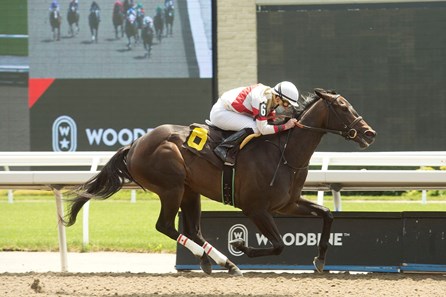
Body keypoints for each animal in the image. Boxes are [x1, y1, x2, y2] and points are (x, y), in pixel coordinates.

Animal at [62, 88, 376, 276]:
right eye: (343, 107)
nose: (369, 133)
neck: (285, 152)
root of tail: (136, 144)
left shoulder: (287, 204)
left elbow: (327, 214)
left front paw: (320, 260)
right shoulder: (256, 209)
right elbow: (277, 245)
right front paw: (242, 244)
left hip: (190, 191)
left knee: (193, 229)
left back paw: (220, 261)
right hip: (171, 187)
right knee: (166, 226)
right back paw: (215, 257)